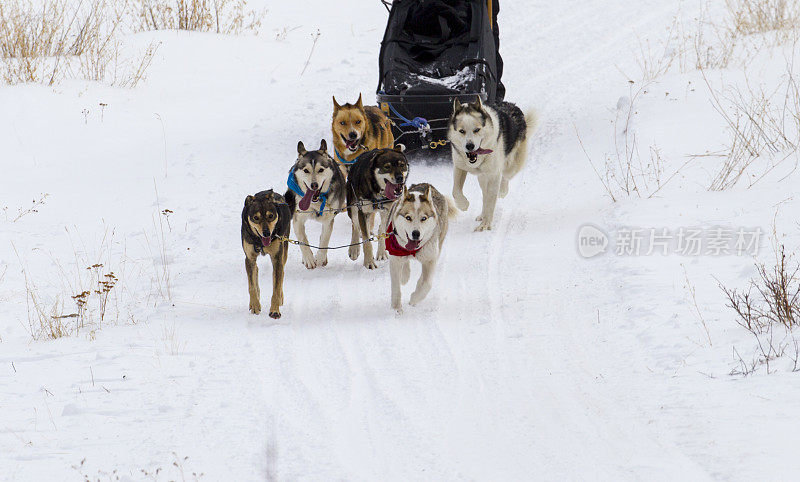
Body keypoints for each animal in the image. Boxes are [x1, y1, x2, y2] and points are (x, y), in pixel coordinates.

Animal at [244, 190, 296, 318]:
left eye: (270, 216)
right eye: (256, 218)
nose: (267, 233)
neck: (259, 241)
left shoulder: (277, 258)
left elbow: (276, 288)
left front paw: (274, 310)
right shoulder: (249, 258)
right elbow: (251, 286)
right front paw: (255, 305)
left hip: (283, 252)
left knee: (280, 275)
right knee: (256, 271)